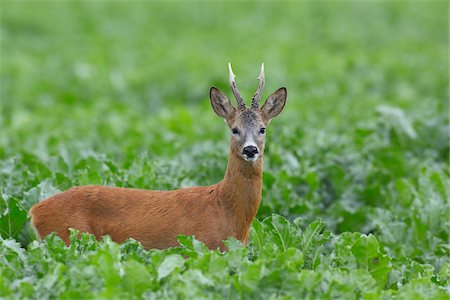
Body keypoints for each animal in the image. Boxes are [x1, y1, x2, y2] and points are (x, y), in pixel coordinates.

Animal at [29, 63, 286, 251]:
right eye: (234, 129)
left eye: (262, 129)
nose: (250, 150)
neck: (226, 212)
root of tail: (35, 210)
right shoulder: (200, 247)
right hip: (66, 237)